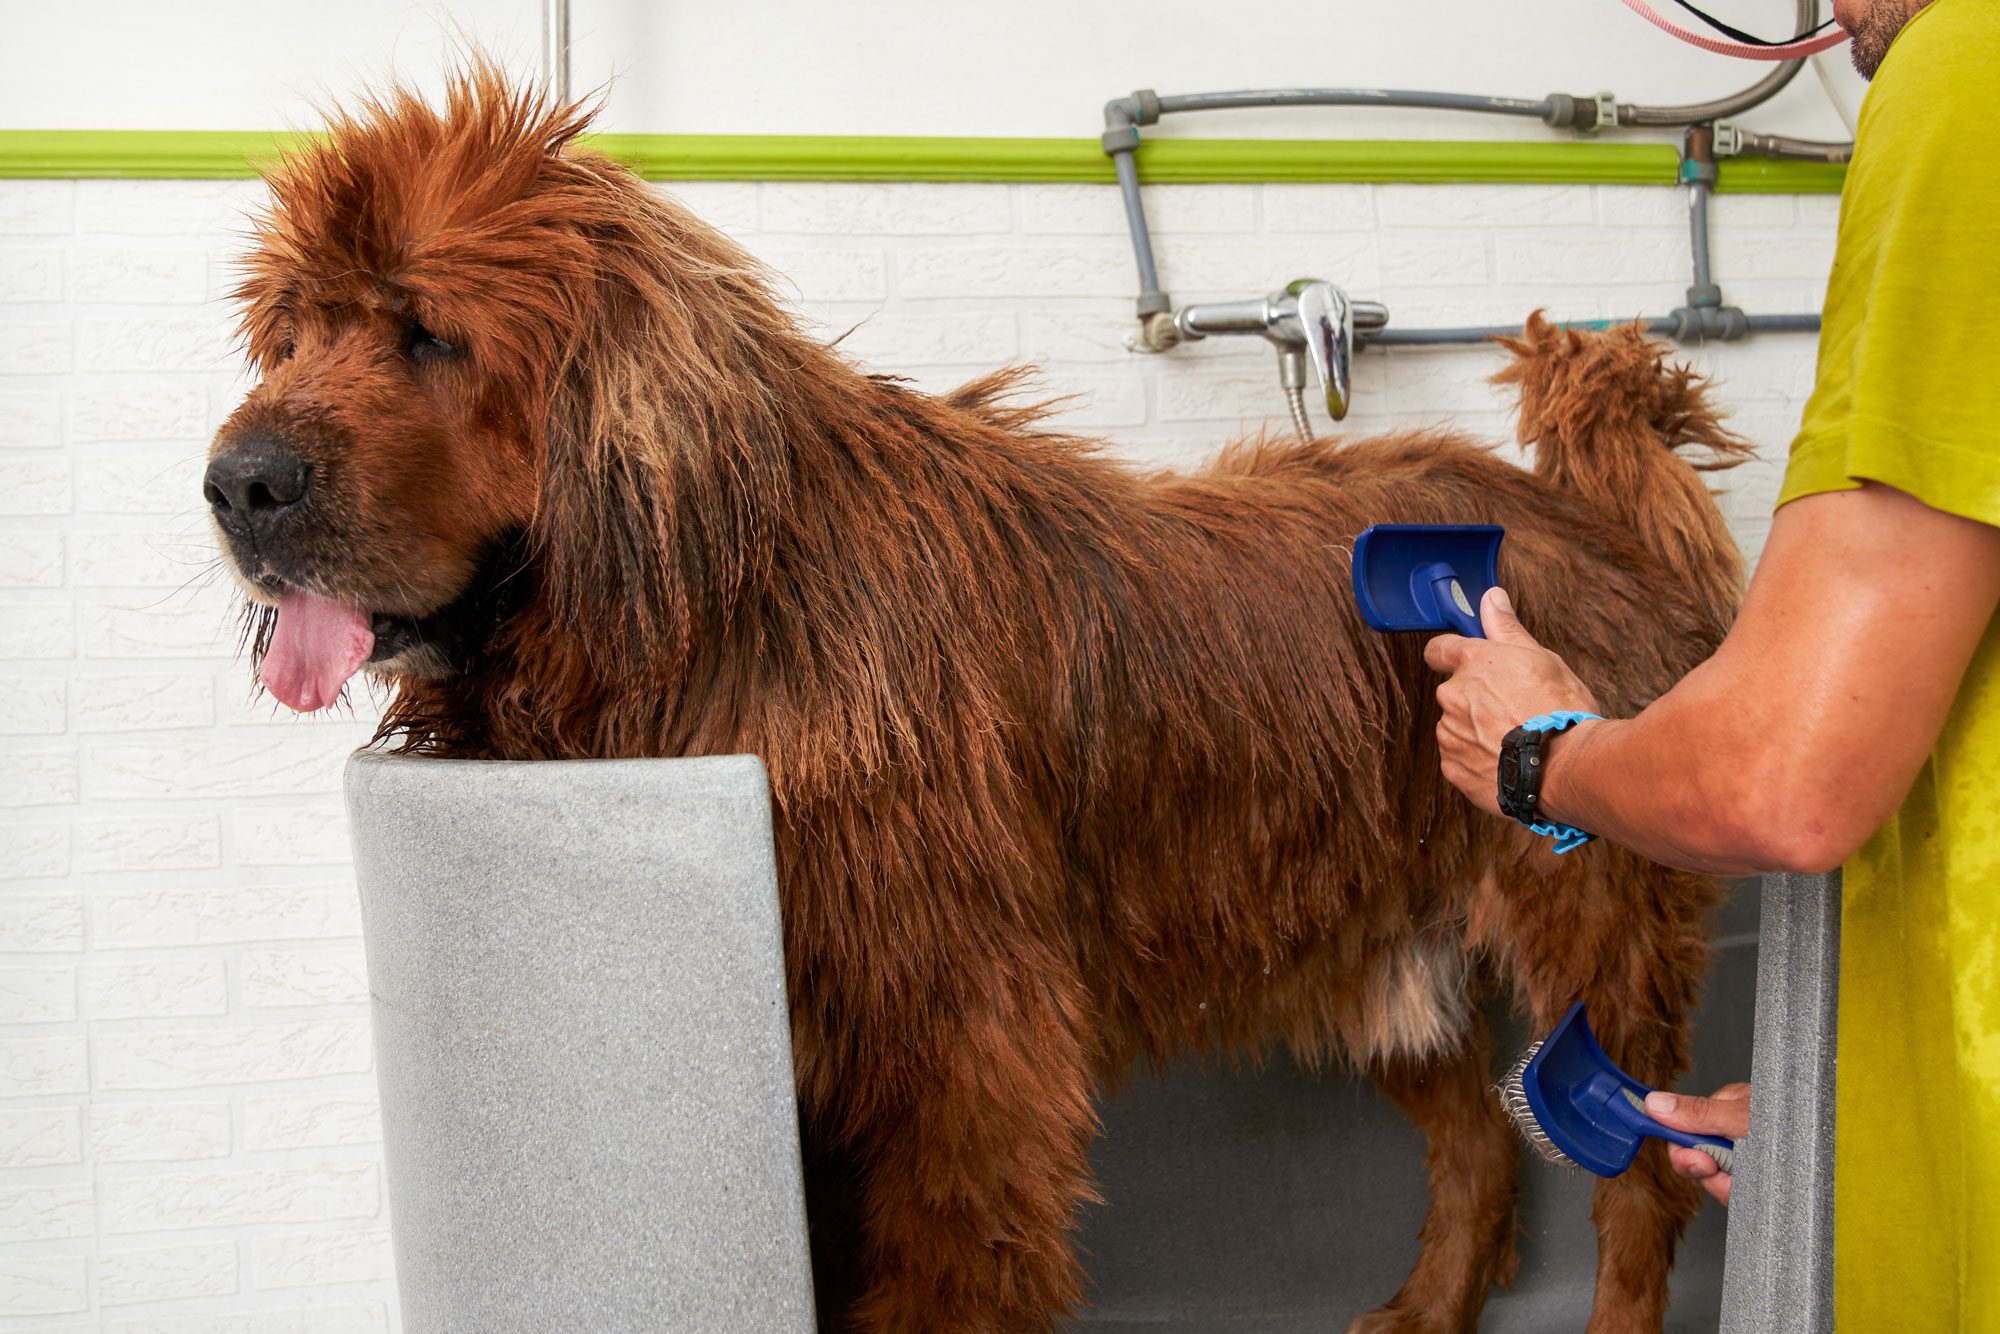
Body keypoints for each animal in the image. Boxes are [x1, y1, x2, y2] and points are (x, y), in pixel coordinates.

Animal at [211, 73, 1752, 1334]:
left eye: (425, 334)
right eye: (290, 336)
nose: (236, 482)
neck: (712, 611)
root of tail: (1589, 517)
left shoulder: (956, 1044)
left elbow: (945, 1276)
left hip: (1591, 930)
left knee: (1641, 1186)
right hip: (1380, 954)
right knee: (1477, 1146)